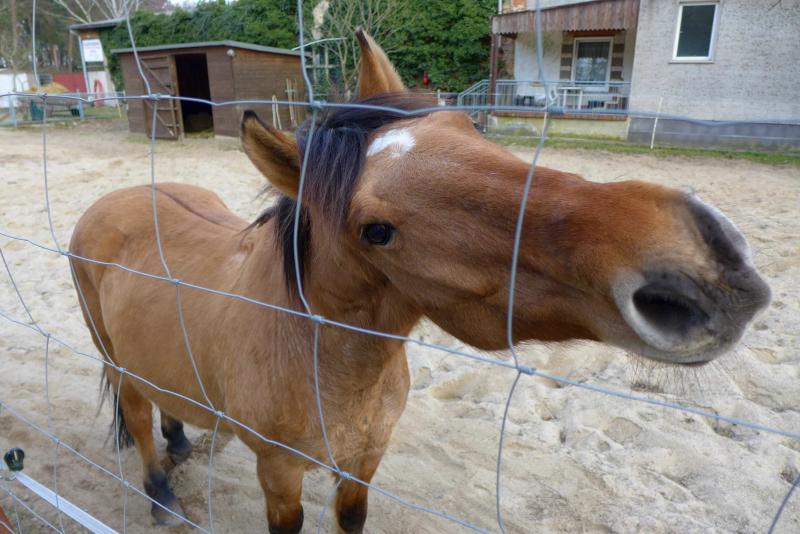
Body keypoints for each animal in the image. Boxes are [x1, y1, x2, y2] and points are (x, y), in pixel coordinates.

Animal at [69, 30, 770, 533]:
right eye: (375, 230)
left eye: (466, 128)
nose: (702, 261)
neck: (315, 352)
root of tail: (115, 202)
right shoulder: (279, 473)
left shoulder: (364, 464)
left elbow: (352, 518)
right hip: (115, 362)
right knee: (136, 420)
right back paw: (162, 496)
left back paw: (181, 440)